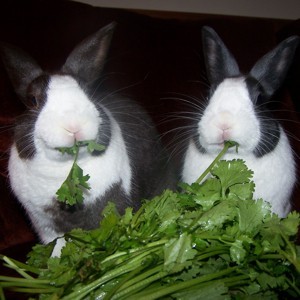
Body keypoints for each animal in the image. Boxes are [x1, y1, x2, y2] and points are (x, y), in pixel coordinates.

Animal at [0, 22, 176, 255]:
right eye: (33, 100)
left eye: (89, 94)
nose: (74, 126)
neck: (65, 169)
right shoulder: (46, 227)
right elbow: (56, 249)